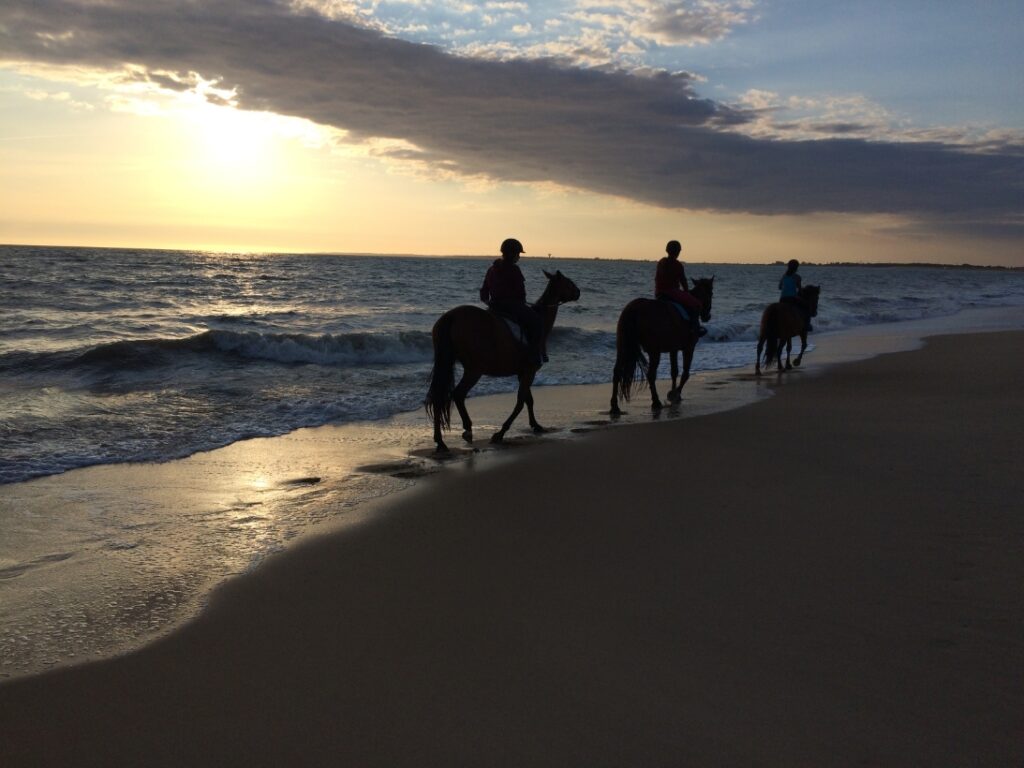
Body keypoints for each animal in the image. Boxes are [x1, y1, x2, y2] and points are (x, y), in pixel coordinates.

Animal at [423, 270, 581, 454]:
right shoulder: (530, 371)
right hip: (474, 369)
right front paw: (500, 432)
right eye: (568, 282)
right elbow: (520, 402)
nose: (578, 291)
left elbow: (528, 400)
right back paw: (467, 430)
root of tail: (452, 316)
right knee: (458, 394)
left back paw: (440, 441)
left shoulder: (522, 373)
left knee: (439, 397)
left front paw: (535, 425)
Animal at [606, 280, 712, 417]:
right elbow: (685, 373)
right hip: (654, 352)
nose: (707, 316)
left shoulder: (673, 349)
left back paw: (614, 406)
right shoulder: (689, 347)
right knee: (651, 375)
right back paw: (656, 401)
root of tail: (634, 308)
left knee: (617, 372)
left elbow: (674, 371)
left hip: (623, 347)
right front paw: (675, 393)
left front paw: (674, 393)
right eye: (711, 293)